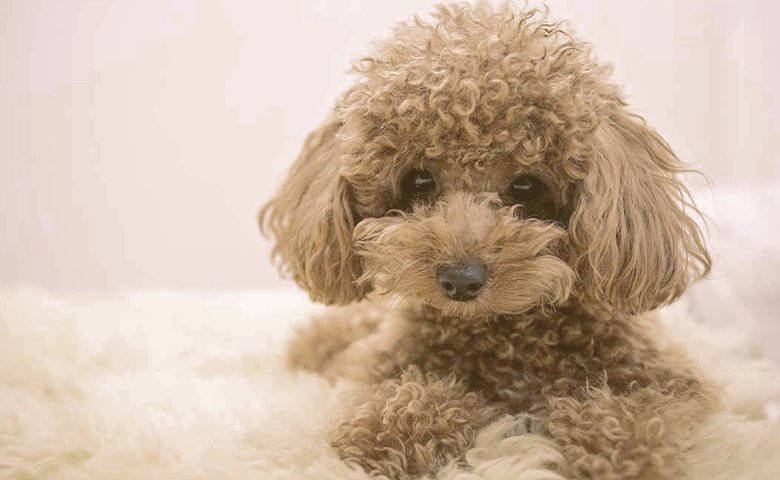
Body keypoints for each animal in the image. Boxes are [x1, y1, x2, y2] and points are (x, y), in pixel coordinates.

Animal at [258, 2, 716, 476]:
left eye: (527, 185)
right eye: (419, 179)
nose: (460, 279)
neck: (505, 333)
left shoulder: (673, 381)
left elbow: (634, 406)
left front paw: (625, 452)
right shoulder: (378, 366)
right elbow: (411, 392)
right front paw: (389, 429)